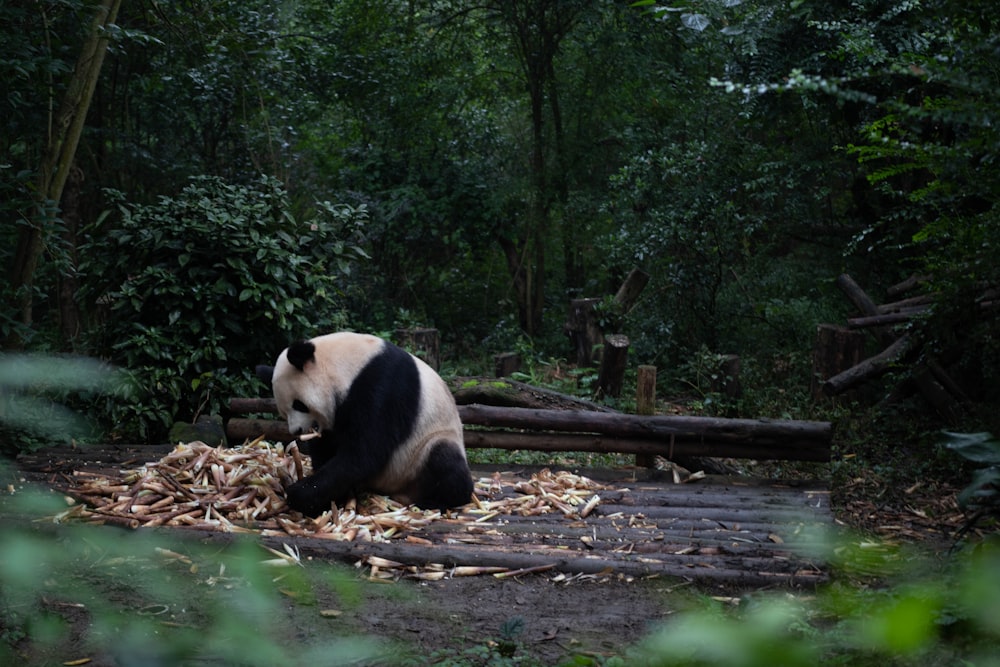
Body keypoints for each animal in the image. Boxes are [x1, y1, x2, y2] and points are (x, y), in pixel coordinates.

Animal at [258, 332, 476, 516]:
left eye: (299, 404)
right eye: (283, 412)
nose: (297, 430)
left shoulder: (383, 387)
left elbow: (365, 453)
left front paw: (299, 493)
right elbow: (328, 447)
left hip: (425, 447)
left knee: (444, 459)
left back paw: (436, 501)